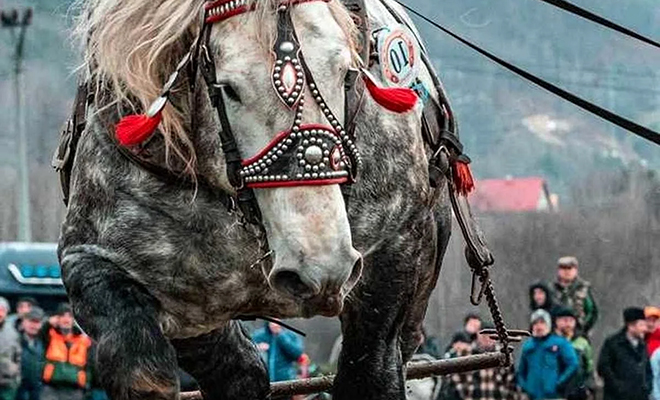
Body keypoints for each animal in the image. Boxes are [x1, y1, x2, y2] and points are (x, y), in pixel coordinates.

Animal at [55, 0, 470, 400]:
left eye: (344, 72)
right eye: (230, 88)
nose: (320, 265)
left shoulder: (394, 253)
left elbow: (369, 376)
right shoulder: (100, 259)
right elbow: (142, 370)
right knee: (240, 370)